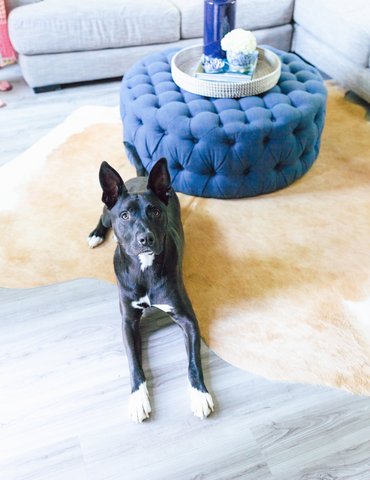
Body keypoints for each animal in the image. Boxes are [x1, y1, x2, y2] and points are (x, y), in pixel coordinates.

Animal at [87, 159, 214, 422]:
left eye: (155, 211)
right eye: (125, 215)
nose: (145, 239)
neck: (144, 268)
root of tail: (142, 176)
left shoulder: (187, 319)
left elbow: (193, 361)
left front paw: (199, 394)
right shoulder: (128, 322)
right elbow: (134, 363)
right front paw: (138, 398)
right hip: (106, 212)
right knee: (102, 218)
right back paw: (95, 235)